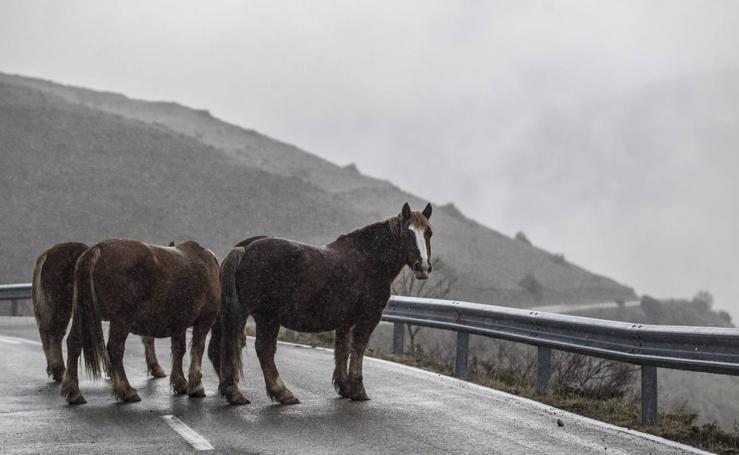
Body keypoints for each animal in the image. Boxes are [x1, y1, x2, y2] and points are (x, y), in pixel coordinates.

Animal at [31, 244, 168, 382]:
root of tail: (46, 255)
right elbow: (148, 338)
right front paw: (156, 368)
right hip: (61, 307)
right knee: (55, 334)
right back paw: (59, 371)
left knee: (46, 333)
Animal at [59, 240, 221, 404]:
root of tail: (98, 248)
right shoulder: (204, 320)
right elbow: (197, 349)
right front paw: (196, 386)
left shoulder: (179, 323)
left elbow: (178, 350)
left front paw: (180, 382)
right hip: (121, 321)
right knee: (115, 349)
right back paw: (126, 390)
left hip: (83, 314)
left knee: (74, 343)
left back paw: (73, 391)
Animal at [214, 203, 434, 406]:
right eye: (407, 233)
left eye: (429, 232)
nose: (422, 267)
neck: (369, 259)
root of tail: (246, 248)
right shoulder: (368, 318)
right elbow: (358, 349)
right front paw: (358, 390)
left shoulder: (345, 321)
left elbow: (342, 350)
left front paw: (344, 387)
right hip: (268, 317)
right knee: (264, 350)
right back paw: (282, 393)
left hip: (242, 312)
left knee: (230, 342)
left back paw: (234, 393)